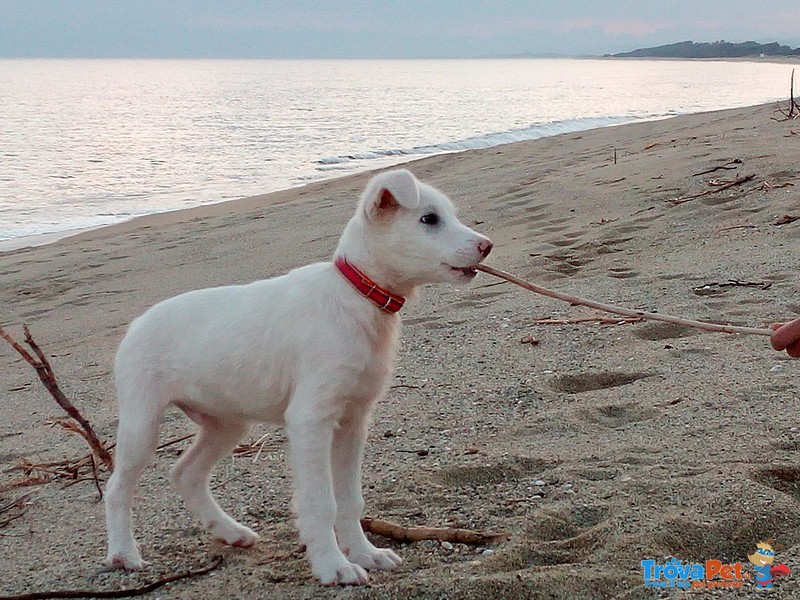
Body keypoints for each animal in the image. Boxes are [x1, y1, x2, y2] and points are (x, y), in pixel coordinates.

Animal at [103, 169, 490, 584]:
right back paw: (124, 553)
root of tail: (136, 325)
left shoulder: (353, 421)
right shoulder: (311, 420)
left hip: (226, 424)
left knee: (185, 474)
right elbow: (321, 503)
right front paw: (334, 566)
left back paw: (231, 532)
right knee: (117, 488)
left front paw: (365, 554)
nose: (487, 246)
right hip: (142, 424)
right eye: (429, 219)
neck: (358, 298)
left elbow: (349, 499)